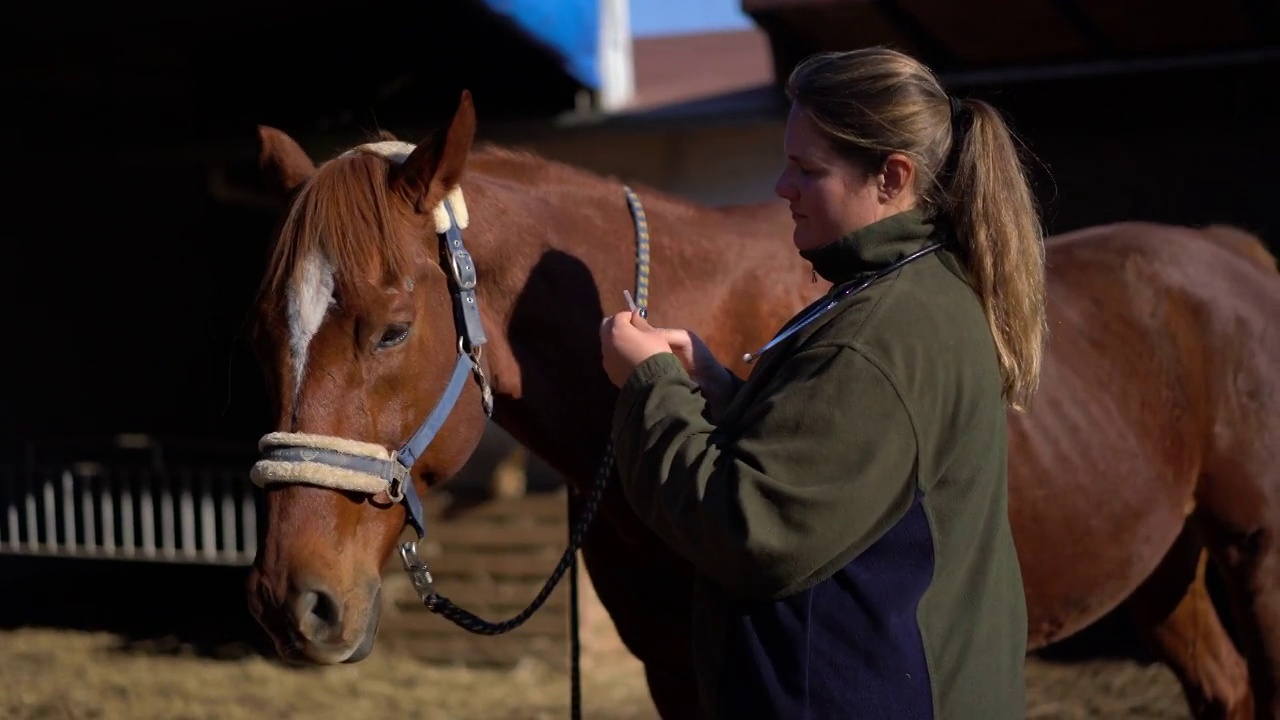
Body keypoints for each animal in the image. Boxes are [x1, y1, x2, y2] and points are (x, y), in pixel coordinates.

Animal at [241, 90, 1280, 717]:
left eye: (390, 330)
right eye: (263, 328)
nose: (295, 601)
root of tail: (1232, 253)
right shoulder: (673, 665)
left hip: (1254, 557)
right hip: (1164, 570)